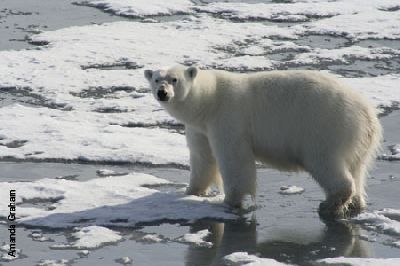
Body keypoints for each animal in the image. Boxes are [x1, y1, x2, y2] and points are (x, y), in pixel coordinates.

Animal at [144, 65, 382, 218]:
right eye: (156, 79)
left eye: (174, 79)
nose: (162, 92)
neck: (209, 100)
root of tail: (368, 114)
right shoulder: (200, 127)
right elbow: (202, 157)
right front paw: (191, 192)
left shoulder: (229, 117)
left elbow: (234, 158)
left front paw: (230, 201)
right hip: (356, 141)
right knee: (357, 168)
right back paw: (355, 204)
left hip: (324, 127)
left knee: (325, 162)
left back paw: (328, 204)